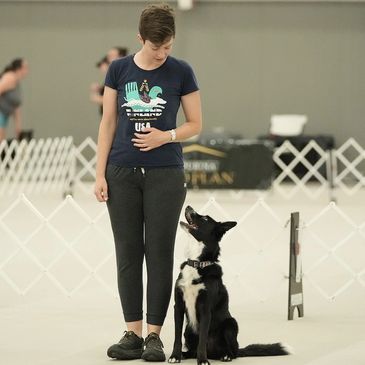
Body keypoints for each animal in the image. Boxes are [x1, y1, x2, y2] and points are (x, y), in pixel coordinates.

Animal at [168, 206, 290, 362]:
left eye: (205, 218)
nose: (188, 206)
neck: (197, 264)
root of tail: (213, 353)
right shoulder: (178, 306)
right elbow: (177, 337)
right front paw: (175, 356)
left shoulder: (205, 309)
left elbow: (202, 339)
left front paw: (203, 361)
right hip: (188, 331)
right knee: (192, 349)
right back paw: (186, 354)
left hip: (231, 325)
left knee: (232, 351)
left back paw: (225, 356)